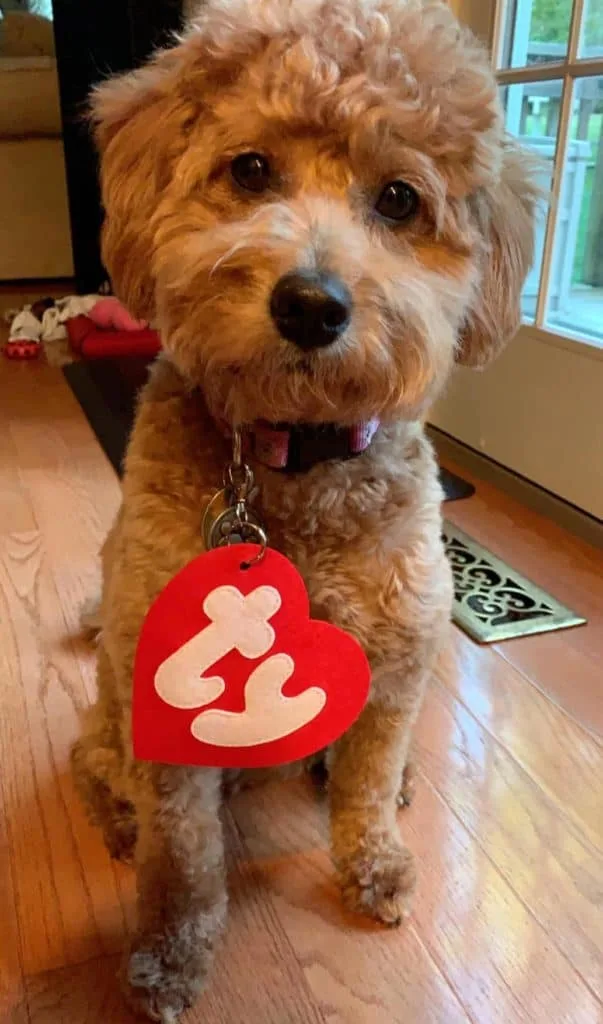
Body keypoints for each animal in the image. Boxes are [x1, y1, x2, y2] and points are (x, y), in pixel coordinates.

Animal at [70, 4, 536, 1019]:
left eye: (399, 200)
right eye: (249, 169)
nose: (312, 305)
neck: (292, 461)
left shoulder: (397, 662)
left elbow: (362, 786)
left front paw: (375, 867)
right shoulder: (167, 703)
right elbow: (185, 858)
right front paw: (166, 954)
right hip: (111, 714)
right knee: (100, 767)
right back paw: (117, 819)